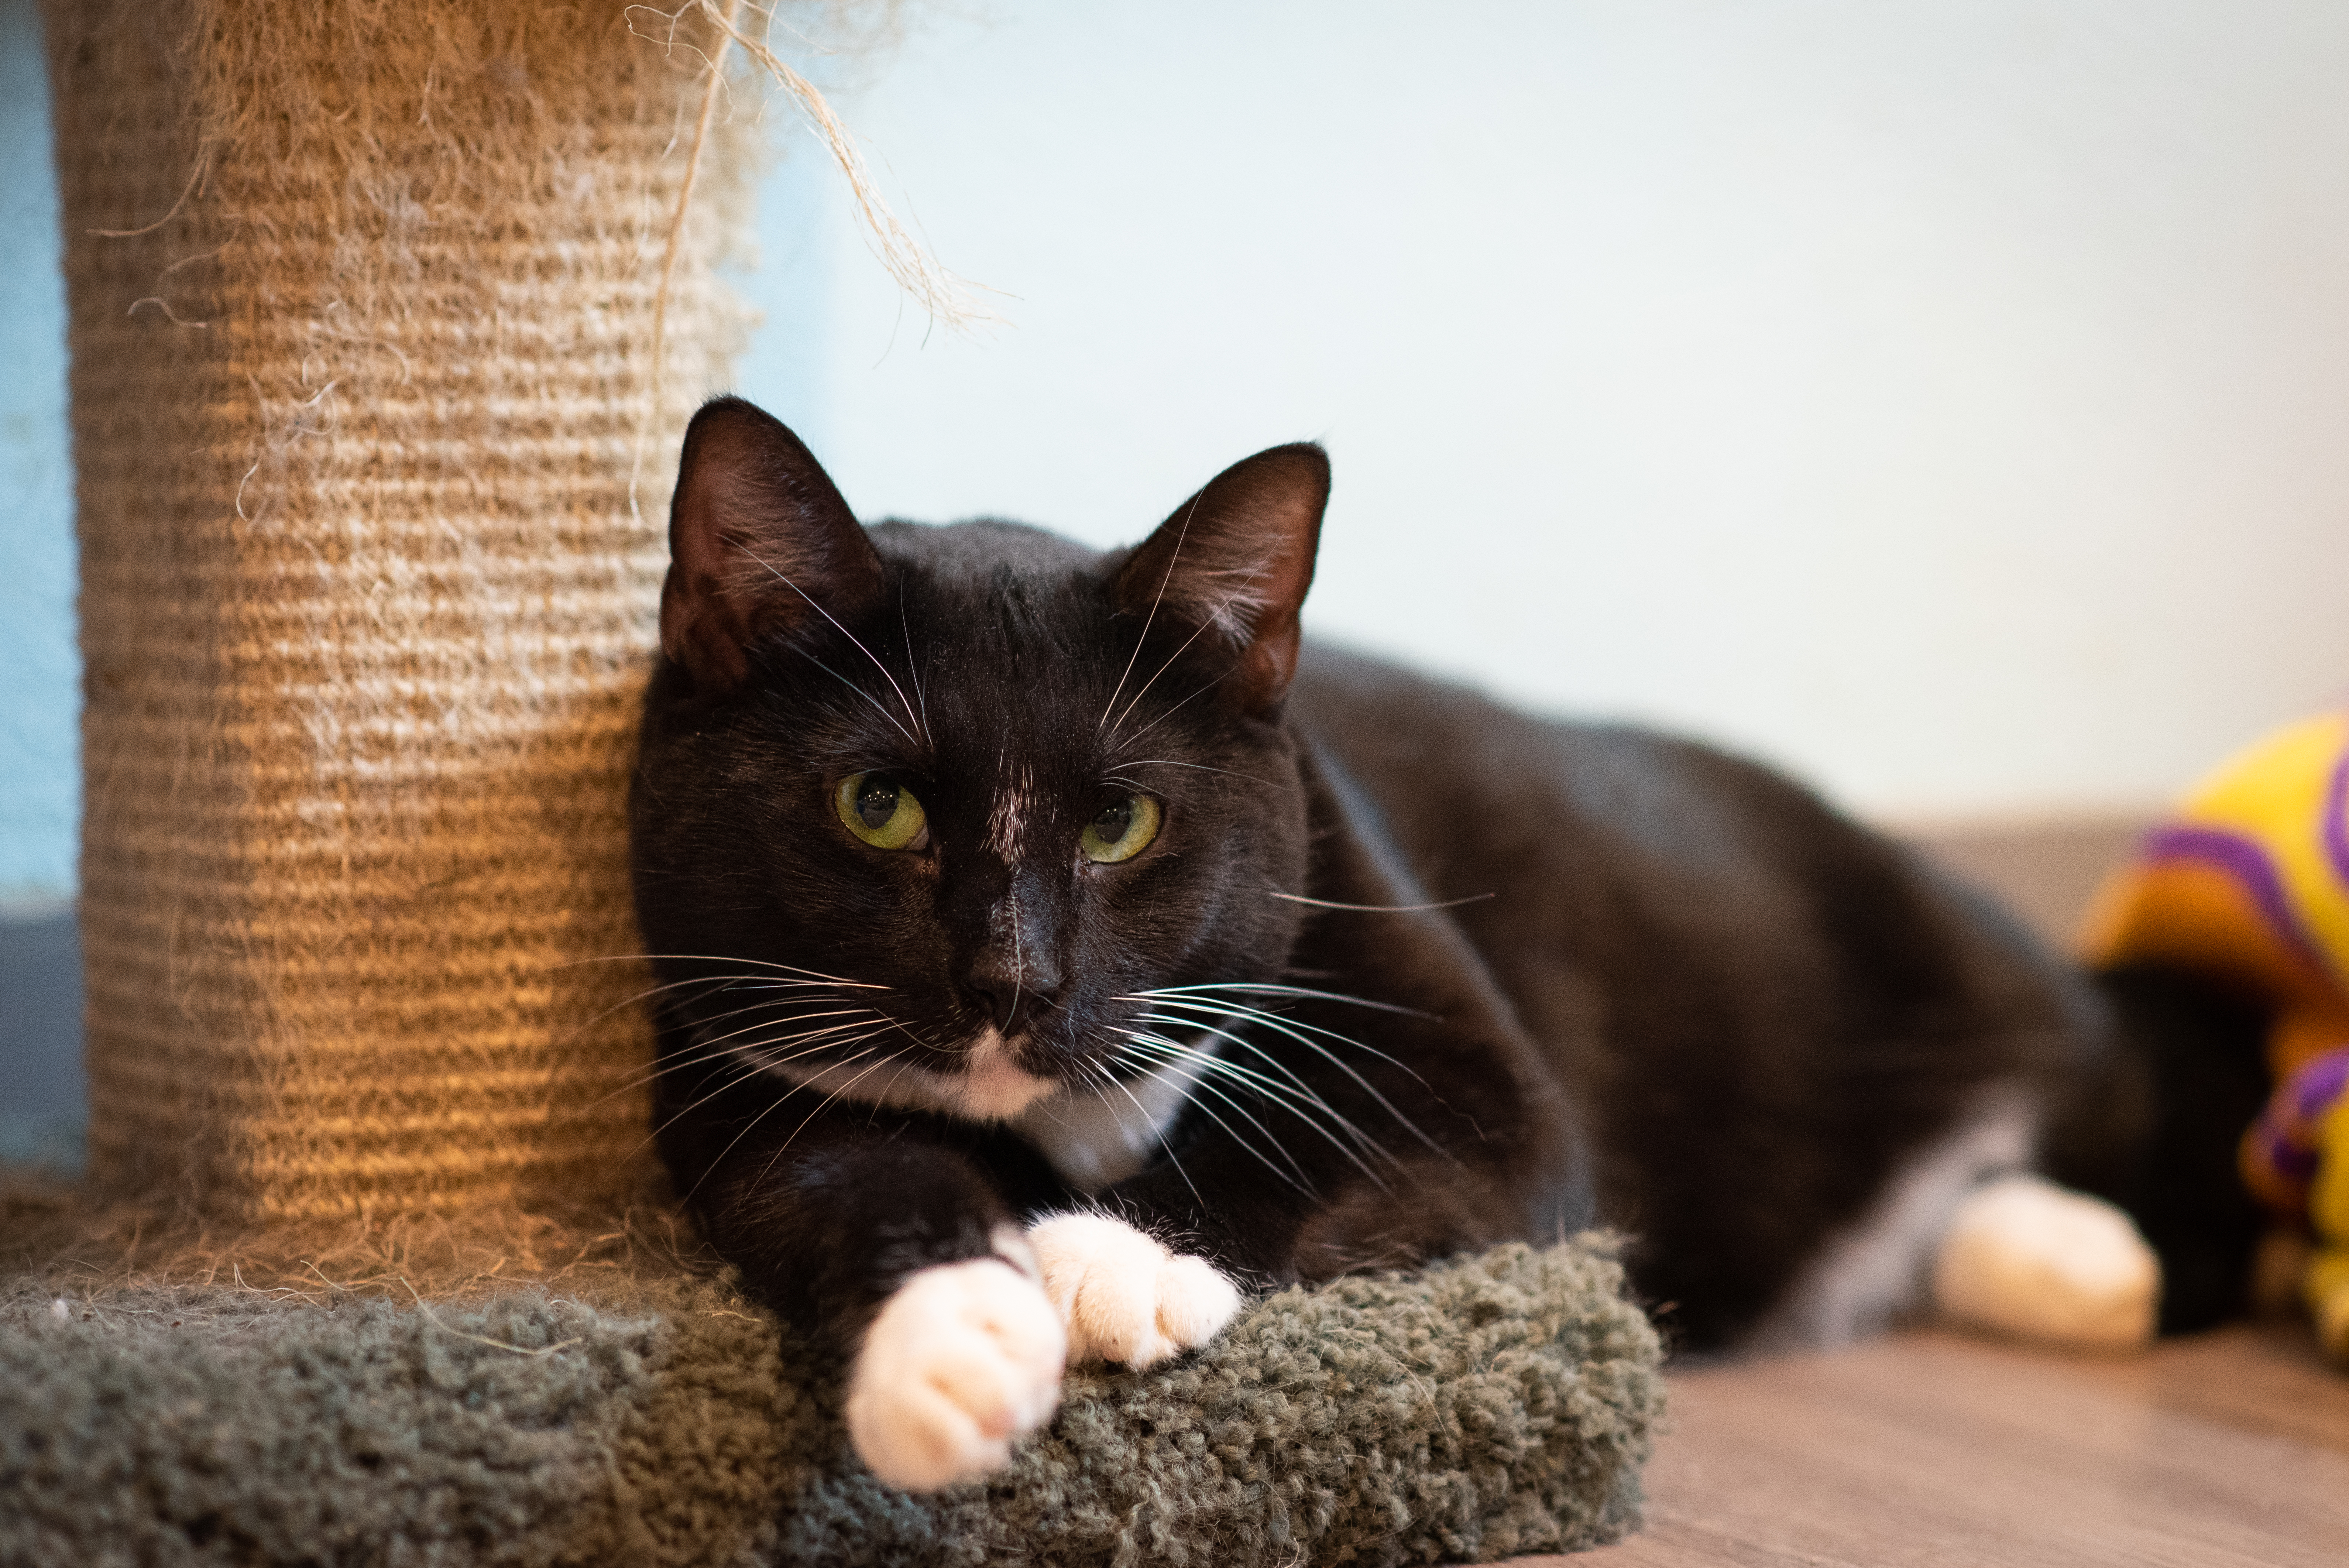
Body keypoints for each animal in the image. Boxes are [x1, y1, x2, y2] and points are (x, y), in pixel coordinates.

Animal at [634, 395, 2264, 1495]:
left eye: (1119, 823)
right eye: (878, 804)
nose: (1011, 980)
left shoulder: (1460, 1038)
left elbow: (1353, 1137)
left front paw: (1107, 1256)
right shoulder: (717, 1045)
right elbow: (830, 1166)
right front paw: (957, 1340)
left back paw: (2094, 1252)